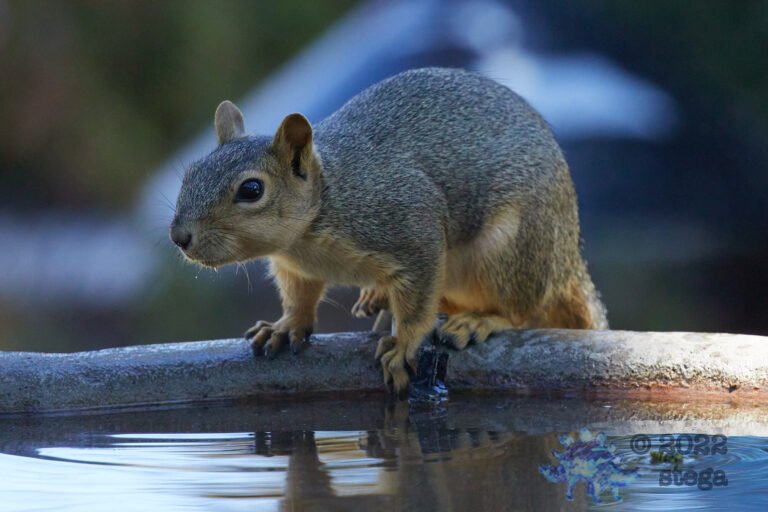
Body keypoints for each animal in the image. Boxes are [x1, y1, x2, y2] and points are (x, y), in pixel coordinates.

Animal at [170, 67, 608, 392]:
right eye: (190, 174)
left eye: (251, 189)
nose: (180, 237)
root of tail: (569, 260)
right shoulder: (295, 268)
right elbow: (299, 299)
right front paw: (285, 326)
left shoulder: (411, 230)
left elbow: (417, 305)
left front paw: (404, 346)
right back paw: (380, 298)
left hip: (511, 252)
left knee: (521, 311)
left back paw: (478, 320)